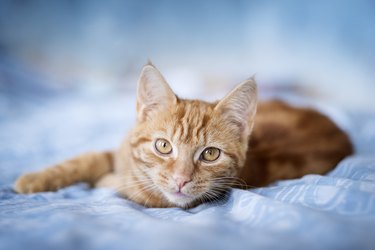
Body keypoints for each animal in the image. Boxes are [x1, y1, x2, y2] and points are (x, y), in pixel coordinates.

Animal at [14, 63, 354, 208]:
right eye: (164, 146)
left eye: (210, 154)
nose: (180, 180)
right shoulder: (116, 151)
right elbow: (86, 159)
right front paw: (35, 179)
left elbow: (123, 187)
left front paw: (109, 182)